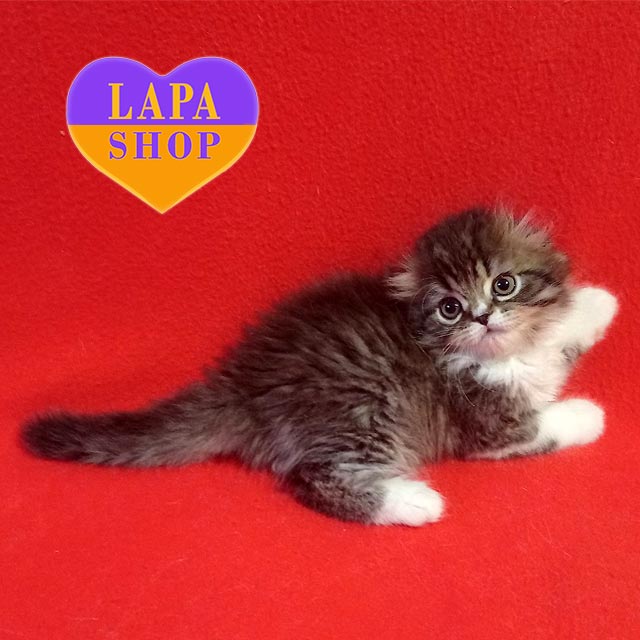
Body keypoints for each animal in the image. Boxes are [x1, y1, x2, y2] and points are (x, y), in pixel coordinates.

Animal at [22, 207, 618, 526]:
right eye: (449, 308)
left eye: (504, 284)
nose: (483, 316)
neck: (500, 356)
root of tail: (243, 382)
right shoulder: (486, 425)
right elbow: (546, 423)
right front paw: (588, 415)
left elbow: (558, 337)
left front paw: (596, 304)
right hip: (365, 409)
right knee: (315, 479)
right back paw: (411, 499)